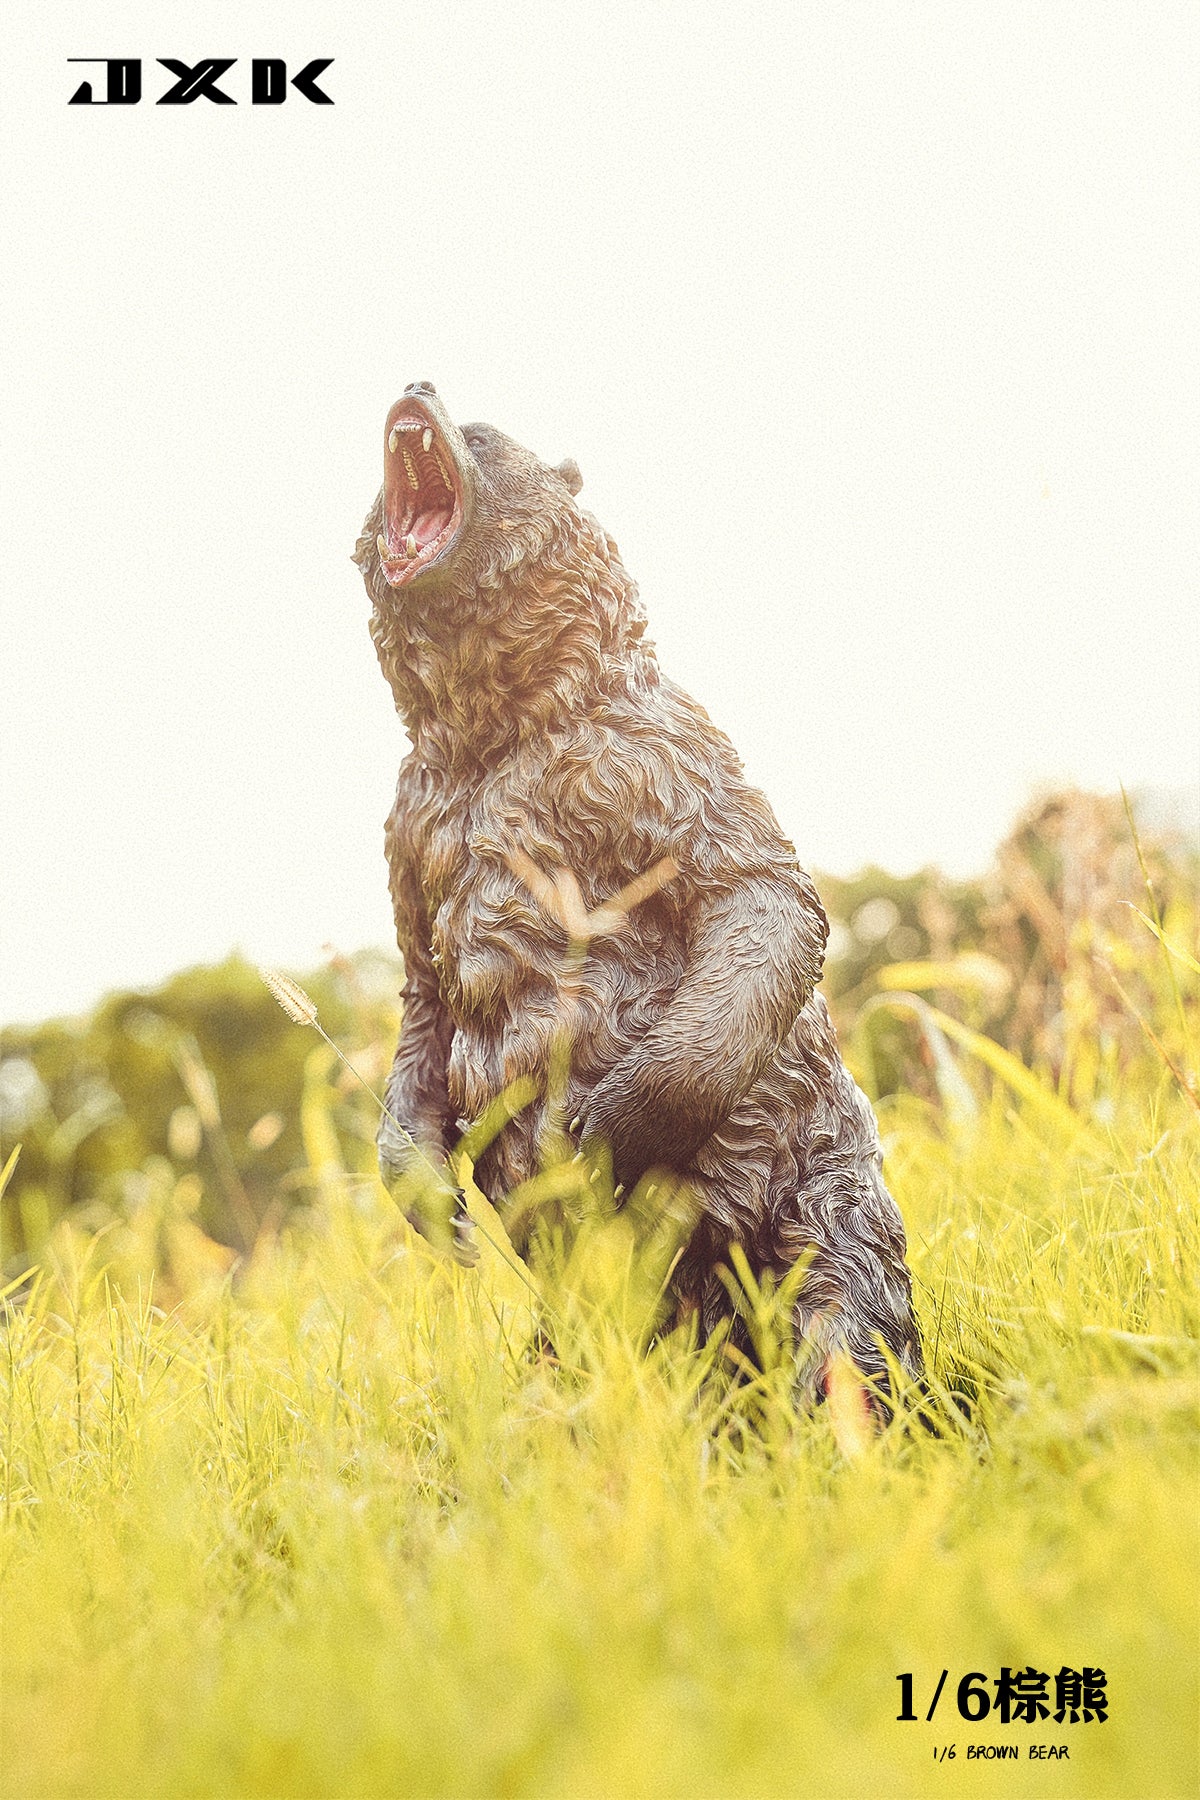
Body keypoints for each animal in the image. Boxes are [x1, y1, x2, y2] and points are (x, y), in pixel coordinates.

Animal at [354, 380, 921, 1394]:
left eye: (484, 434)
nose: (415, 388)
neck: (493, 744)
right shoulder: (409, 831)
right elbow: (423, 999)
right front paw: (434, 1205)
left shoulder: (655, 753)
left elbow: (762, 893)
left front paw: (602, 1127)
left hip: (824, 1203)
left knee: (845, 1330)